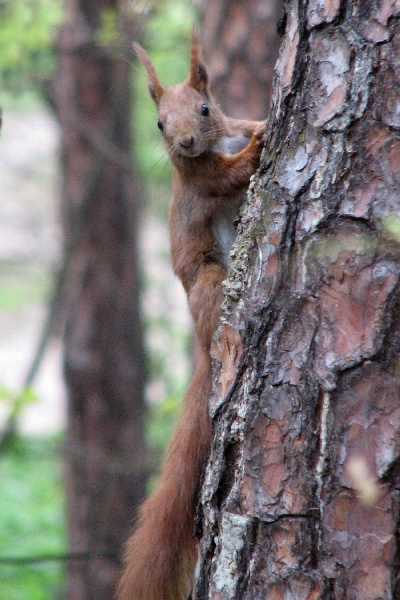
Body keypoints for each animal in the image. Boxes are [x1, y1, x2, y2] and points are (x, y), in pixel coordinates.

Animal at [117, 32, 264, 600]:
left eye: (204, 108)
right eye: (159, 123)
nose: (184, 144)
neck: (213, 146)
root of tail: (203, 348)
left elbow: (245, 125)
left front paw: (261, 128)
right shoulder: (205, 180)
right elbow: (232, 175)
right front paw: (259, 150)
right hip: (208, 280)